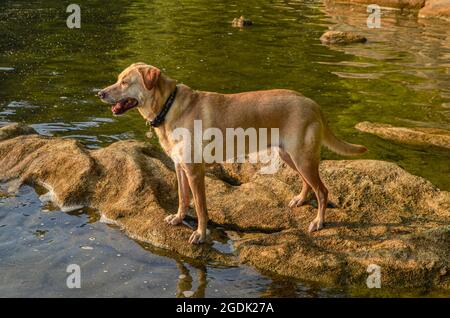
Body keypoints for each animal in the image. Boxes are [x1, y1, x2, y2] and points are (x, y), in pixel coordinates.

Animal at [98, 63, 366, 245]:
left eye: (125, 82)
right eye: (118, 79)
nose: (99, 93)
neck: (168, 106)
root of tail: (312, 103)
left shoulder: (195, 171)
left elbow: (200, 207)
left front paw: (200, 234)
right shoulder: (179, 167)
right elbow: (183, 198)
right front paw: (178, 218)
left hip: (302, 157)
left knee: (322, 191)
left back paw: (319, 222)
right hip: (290, 156)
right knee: (307, 183)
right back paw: (300, 200)